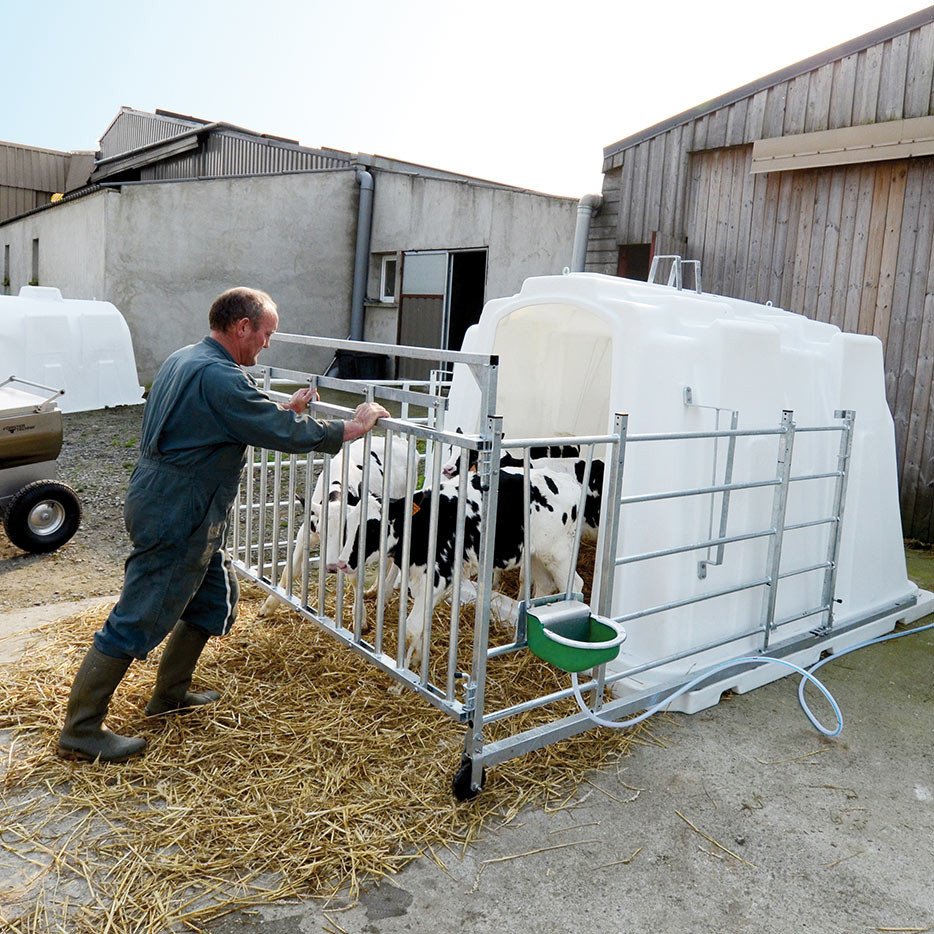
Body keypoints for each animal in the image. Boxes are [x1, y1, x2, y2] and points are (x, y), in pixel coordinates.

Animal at [336, 468, 584, 672]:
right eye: (347, 523)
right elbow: (422, 625)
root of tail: (569, 483)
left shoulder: (436, 578)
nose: (342, 562)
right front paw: (417, 661)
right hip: (535, 555)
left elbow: (411, 628)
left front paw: (403, 677)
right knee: (544, 586)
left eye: (373, 528)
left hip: (560, 554)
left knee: (575, 586)